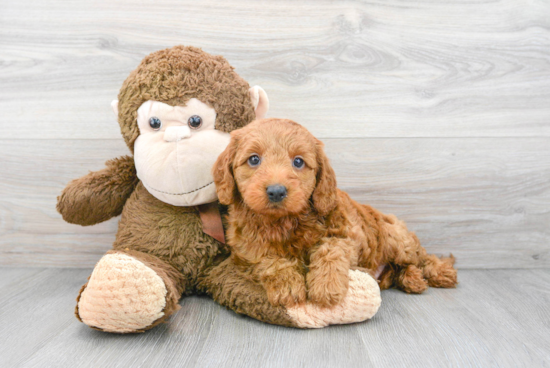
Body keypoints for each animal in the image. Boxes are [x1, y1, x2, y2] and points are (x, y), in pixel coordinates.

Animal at [213, 118, 460, 308]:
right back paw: (412, 279)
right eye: (254, 159)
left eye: (298, 162)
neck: (283, 222)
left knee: (421, 256)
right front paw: (288, 286)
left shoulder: (348, 233)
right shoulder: (246, 251)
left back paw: (439, 272)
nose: (276, 191)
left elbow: (330, 249)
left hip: (397, 239)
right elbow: (270, 260)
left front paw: (326, 287)